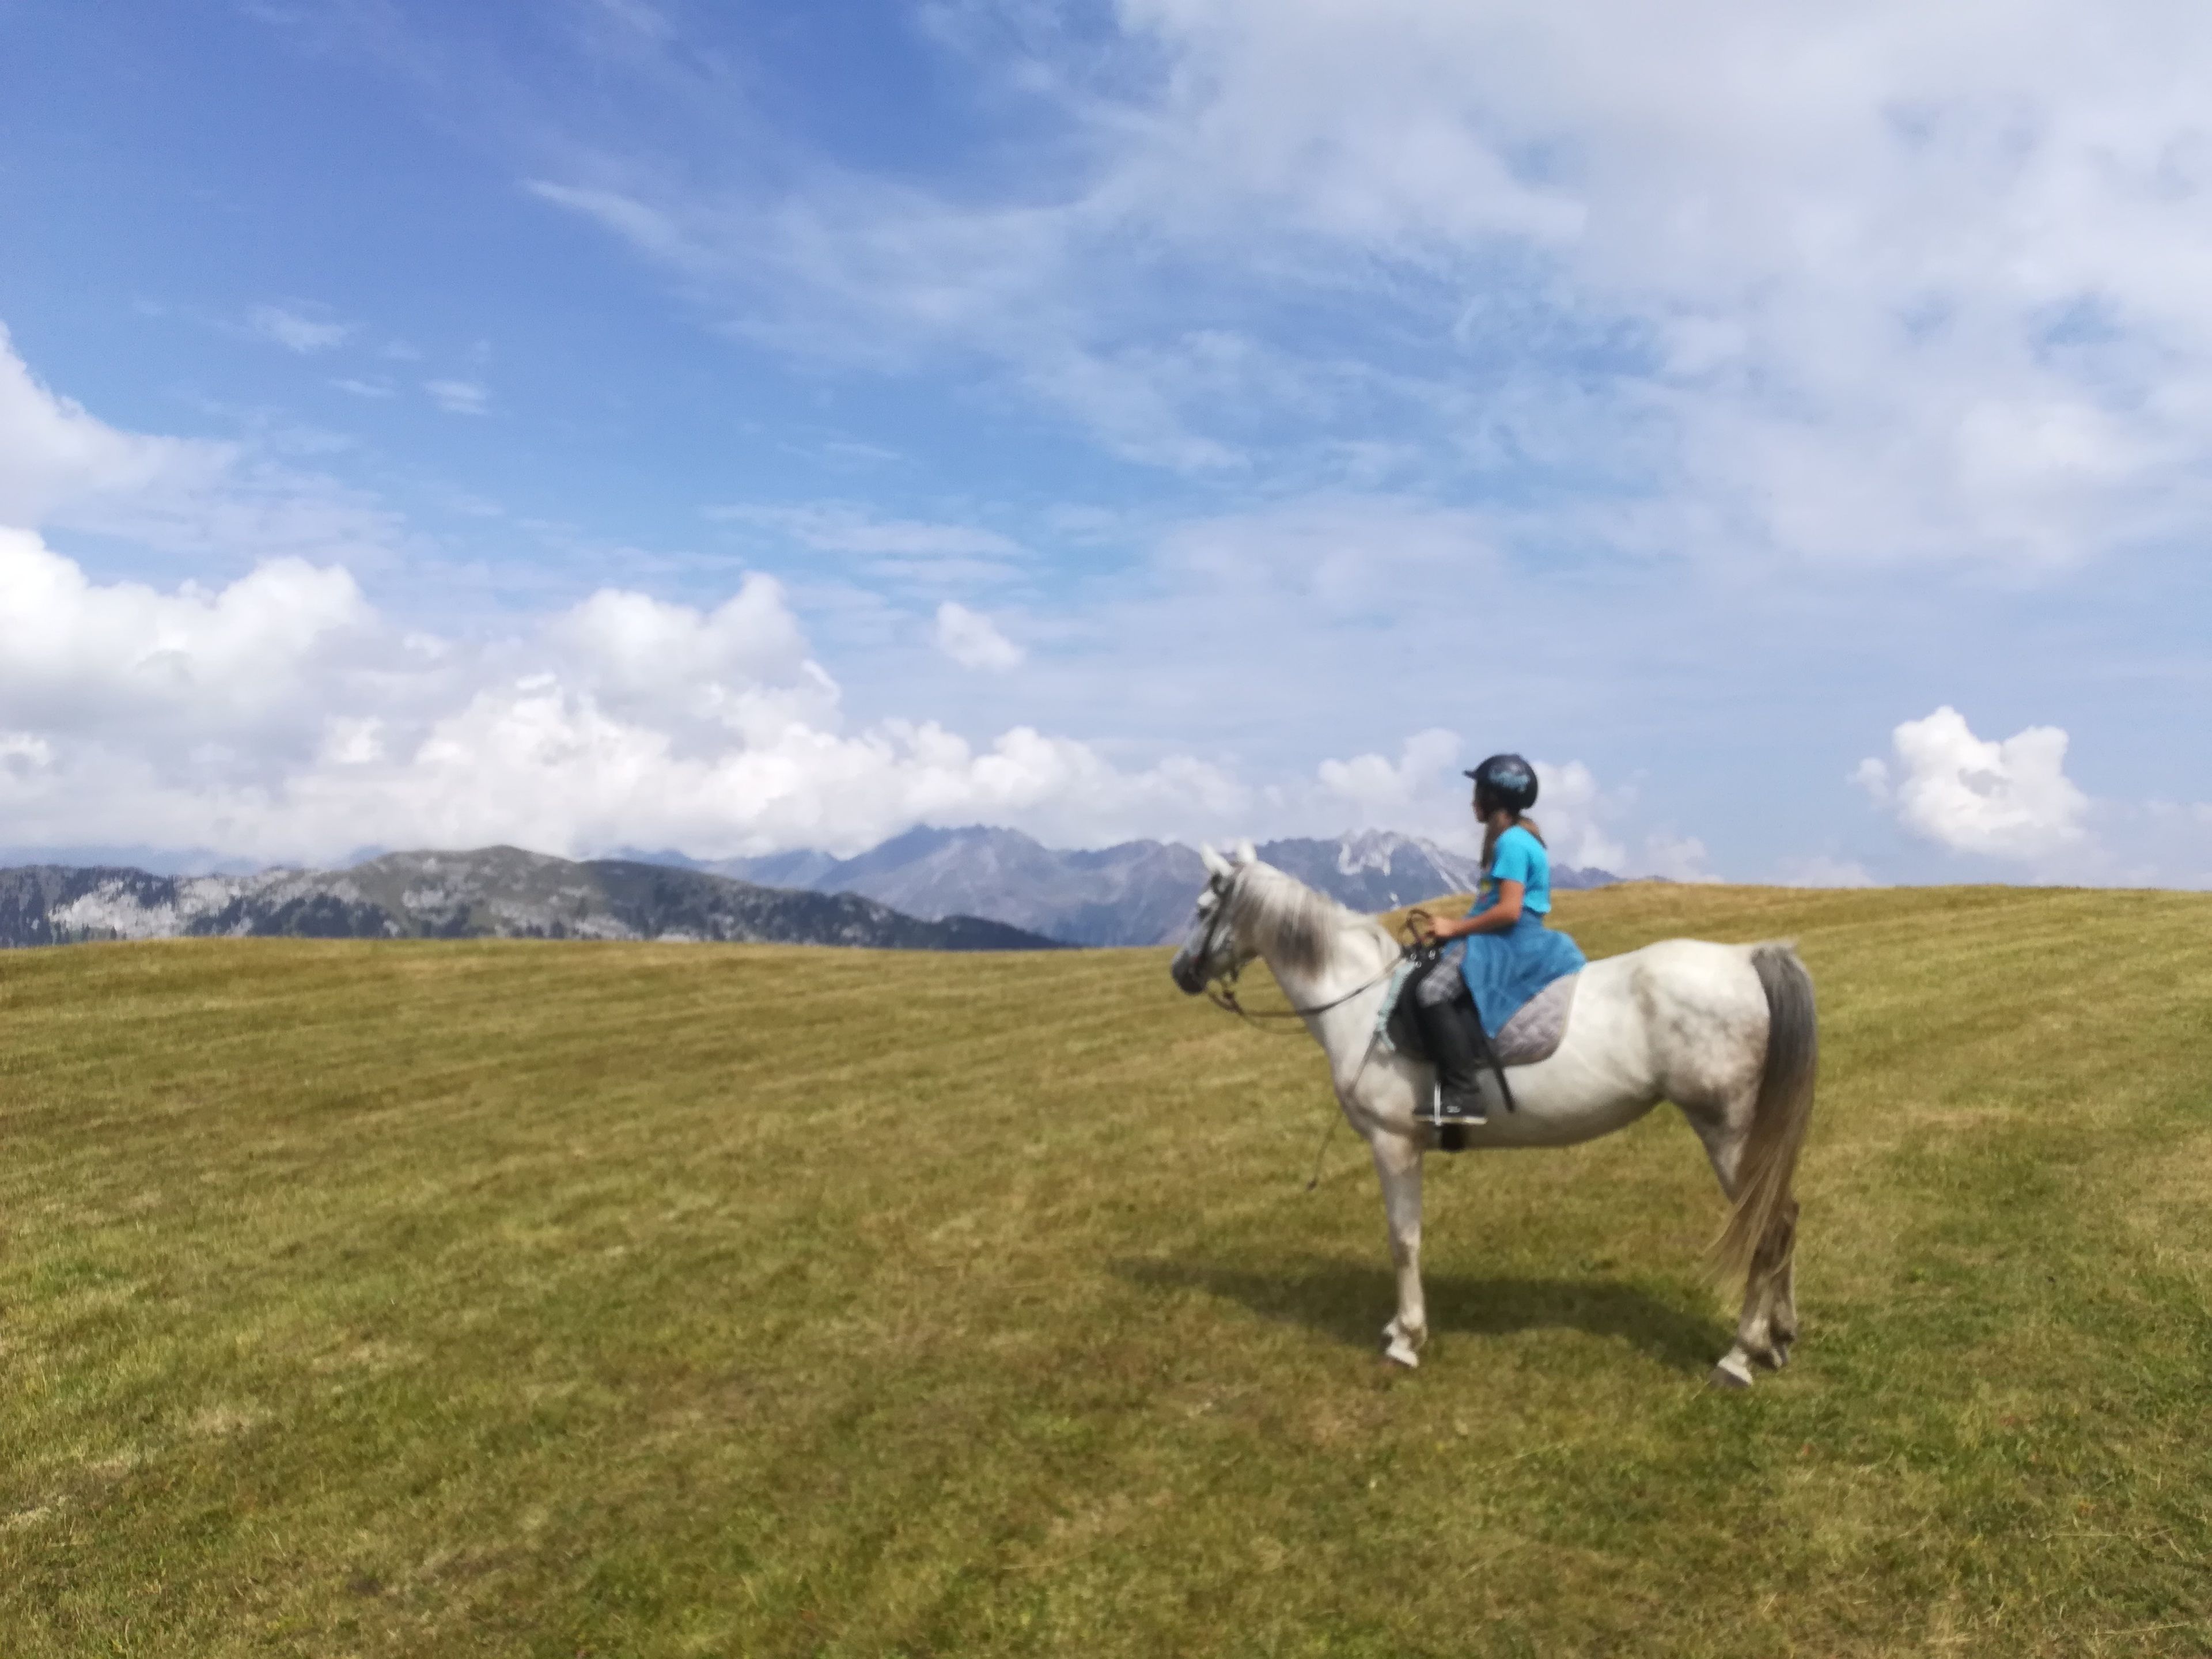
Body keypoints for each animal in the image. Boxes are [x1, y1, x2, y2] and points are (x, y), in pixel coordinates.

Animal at [1168, 842, 1817, 1389]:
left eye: (1202, 909)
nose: (1180, 972)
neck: (1362, 1001)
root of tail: (1747, 959)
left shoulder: (1393, 1143)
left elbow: (1403, 1239)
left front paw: (1406, 1338)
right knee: (1784, 1219)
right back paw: (1778, 1338)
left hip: (1728, 1132)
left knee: (1767, 1226)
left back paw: (1740, 1355)